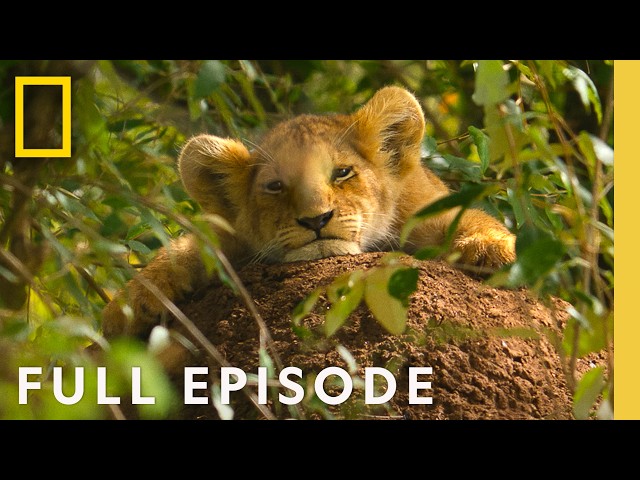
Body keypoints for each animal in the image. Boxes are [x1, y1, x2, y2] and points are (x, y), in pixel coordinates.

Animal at [102, 86, 516, 339]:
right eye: (275, 186)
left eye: (342, 172)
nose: (316, 219)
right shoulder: (233, 237)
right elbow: (185, 248)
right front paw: (129, 305)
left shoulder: (422, 212)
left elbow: (469, 217)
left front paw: (498, 250)